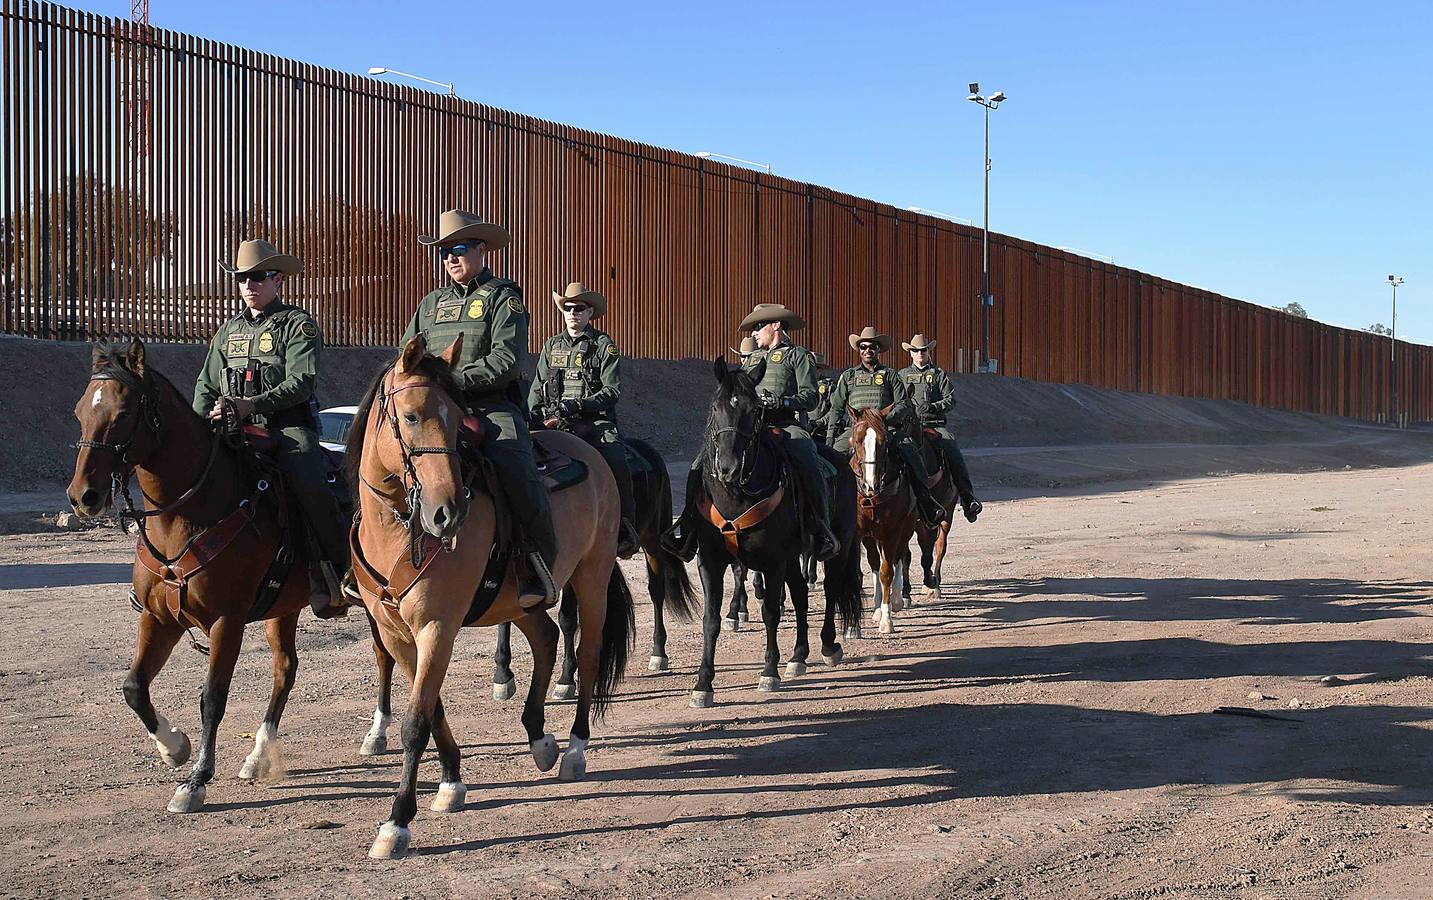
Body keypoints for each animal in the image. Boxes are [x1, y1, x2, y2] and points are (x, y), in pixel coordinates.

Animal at [67, 339, 346, 814]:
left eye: (122, 414)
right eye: (79, 411)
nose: (82, 496)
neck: (190, 513)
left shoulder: (226, 622)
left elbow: (213, 698)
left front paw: (196, 780)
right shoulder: (159, 619)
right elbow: (133, 687)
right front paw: (173, 747)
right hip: (284, 611)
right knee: (286, 671)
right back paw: (259, 755)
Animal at [492, 432, 693, 699]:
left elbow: (567, 619)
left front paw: (566, 679)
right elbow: (505, 617)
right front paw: (503, 676)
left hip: (652, 538)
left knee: (656, 591)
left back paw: (658, 653)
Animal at [684, 355, 854, 707]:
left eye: (754, 409)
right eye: (716, 407)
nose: (728, 467)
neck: (736, 495)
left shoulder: (773, 560)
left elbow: (771, 612)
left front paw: (768, 673)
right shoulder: (711, 561)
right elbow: (711, 619)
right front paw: (703, 684)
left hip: (838, 546)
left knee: (831, 589)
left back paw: (828, 645)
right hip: (793, 558)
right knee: (801, 592)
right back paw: (799, 656)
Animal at [848, 407, 917, 633]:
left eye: (882, 441)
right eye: (857, 440)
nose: (870, 484)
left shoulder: (892, 532)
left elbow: (888, 571)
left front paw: (887, 620)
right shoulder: (857, 534)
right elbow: (860, 572)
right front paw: (853, 627)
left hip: (905, 529)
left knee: (900, 557)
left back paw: (895, 599)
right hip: (871, 537)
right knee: (874, 562)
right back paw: (877, 606)